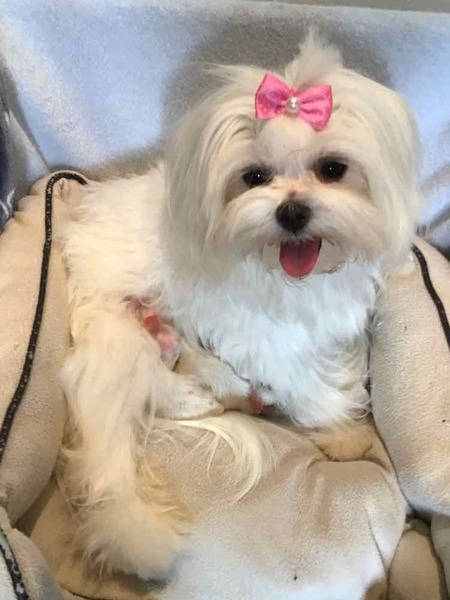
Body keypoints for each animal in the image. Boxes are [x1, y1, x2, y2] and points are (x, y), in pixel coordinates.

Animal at [60, 34, 420, 580]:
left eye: (332, 169)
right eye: (254, 177)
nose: (291, 211)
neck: (292, 275)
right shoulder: (263, 338)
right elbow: (307, 384)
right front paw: (342, 432)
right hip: (118, 331)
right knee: (138, 396)